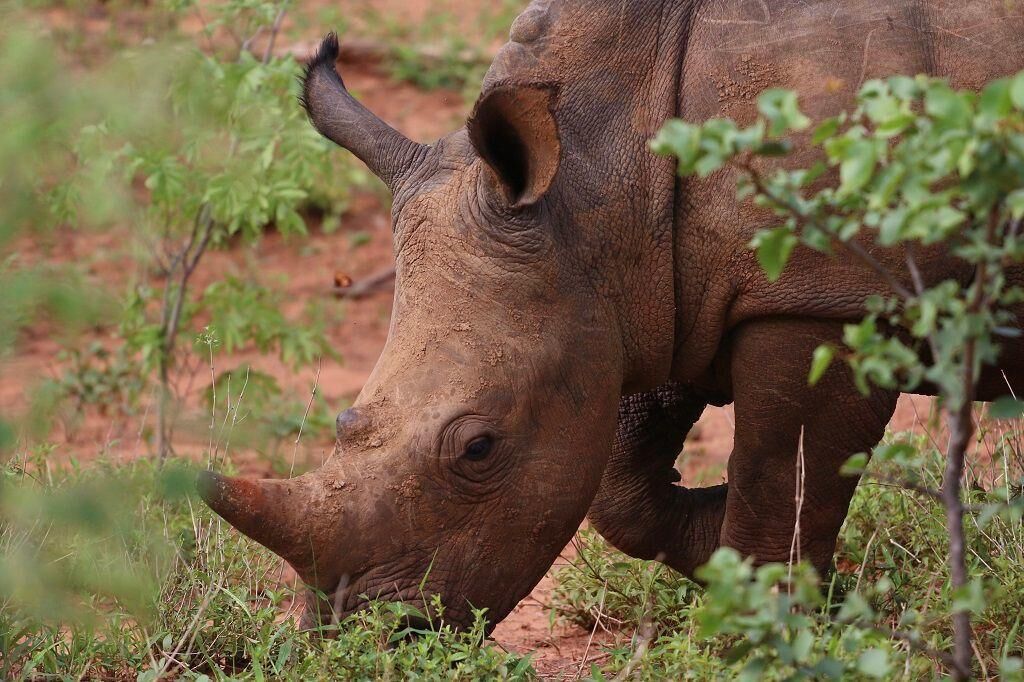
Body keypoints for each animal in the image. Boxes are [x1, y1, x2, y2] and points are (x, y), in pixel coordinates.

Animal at [198, 0, 1024, 631]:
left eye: (478, 448)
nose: (371, 637)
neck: (601, 162)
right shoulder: (656, 279)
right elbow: (624, 479)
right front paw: (714, 531)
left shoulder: (824, 296)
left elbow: (779, 491)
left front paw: (761, 626)